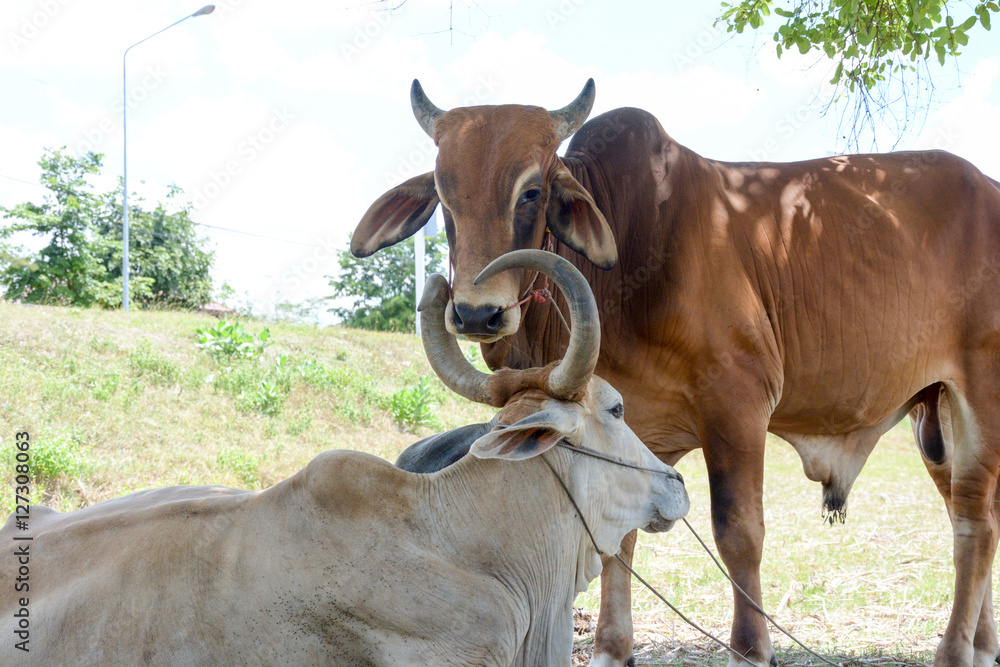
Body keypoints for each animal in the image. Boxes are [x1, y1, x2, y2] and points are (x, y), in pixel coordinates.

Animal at [356, 81, 1000, 664]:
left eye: (531, 190)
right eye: (442, 194)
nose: (476, 313)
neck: (629, 254)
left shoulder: (738, 405)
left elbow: (739, 533)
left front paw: (750, 650)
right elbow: (616, 540)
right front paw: (613, 650)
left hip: (978, 399)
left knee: (973, 525)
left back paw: (954, 651)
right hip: (936, 413)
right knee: (975, 516)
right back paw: (982, 643)